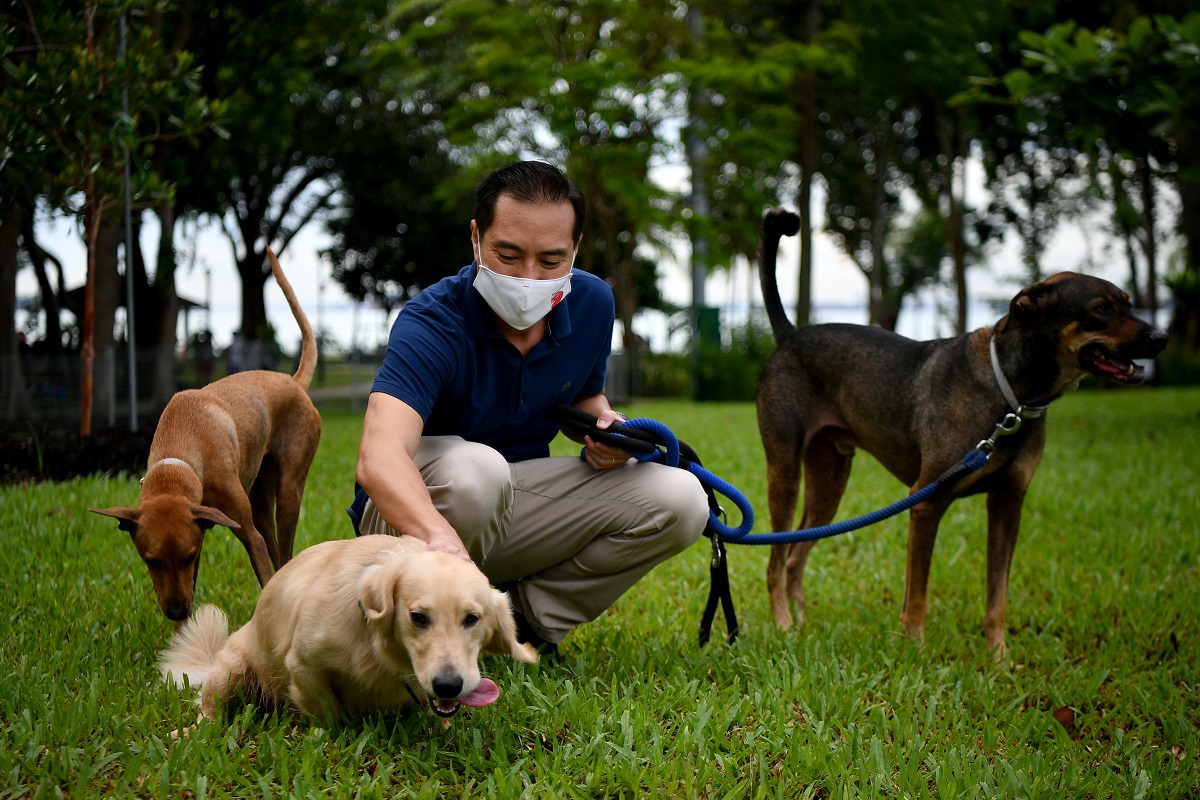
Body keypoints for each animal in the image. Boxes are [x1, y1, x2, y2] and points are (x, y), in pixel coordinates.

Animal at [753, 209, 1166, 652]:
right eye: (1100, 308)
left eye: (1128, 303)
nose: (1162, 336)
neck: (1011, 397)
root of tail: (790, 335)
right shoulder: (926, 502)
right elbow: (918, 595)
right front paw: (914, 649)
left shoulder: (1008, 504)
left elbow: (997, 594)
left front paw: (998, 656)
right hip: (785, 473)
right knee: (774, 564)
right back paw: (783, 626)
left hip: (829, 484)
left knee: (793, 558)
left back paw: (801, 627)